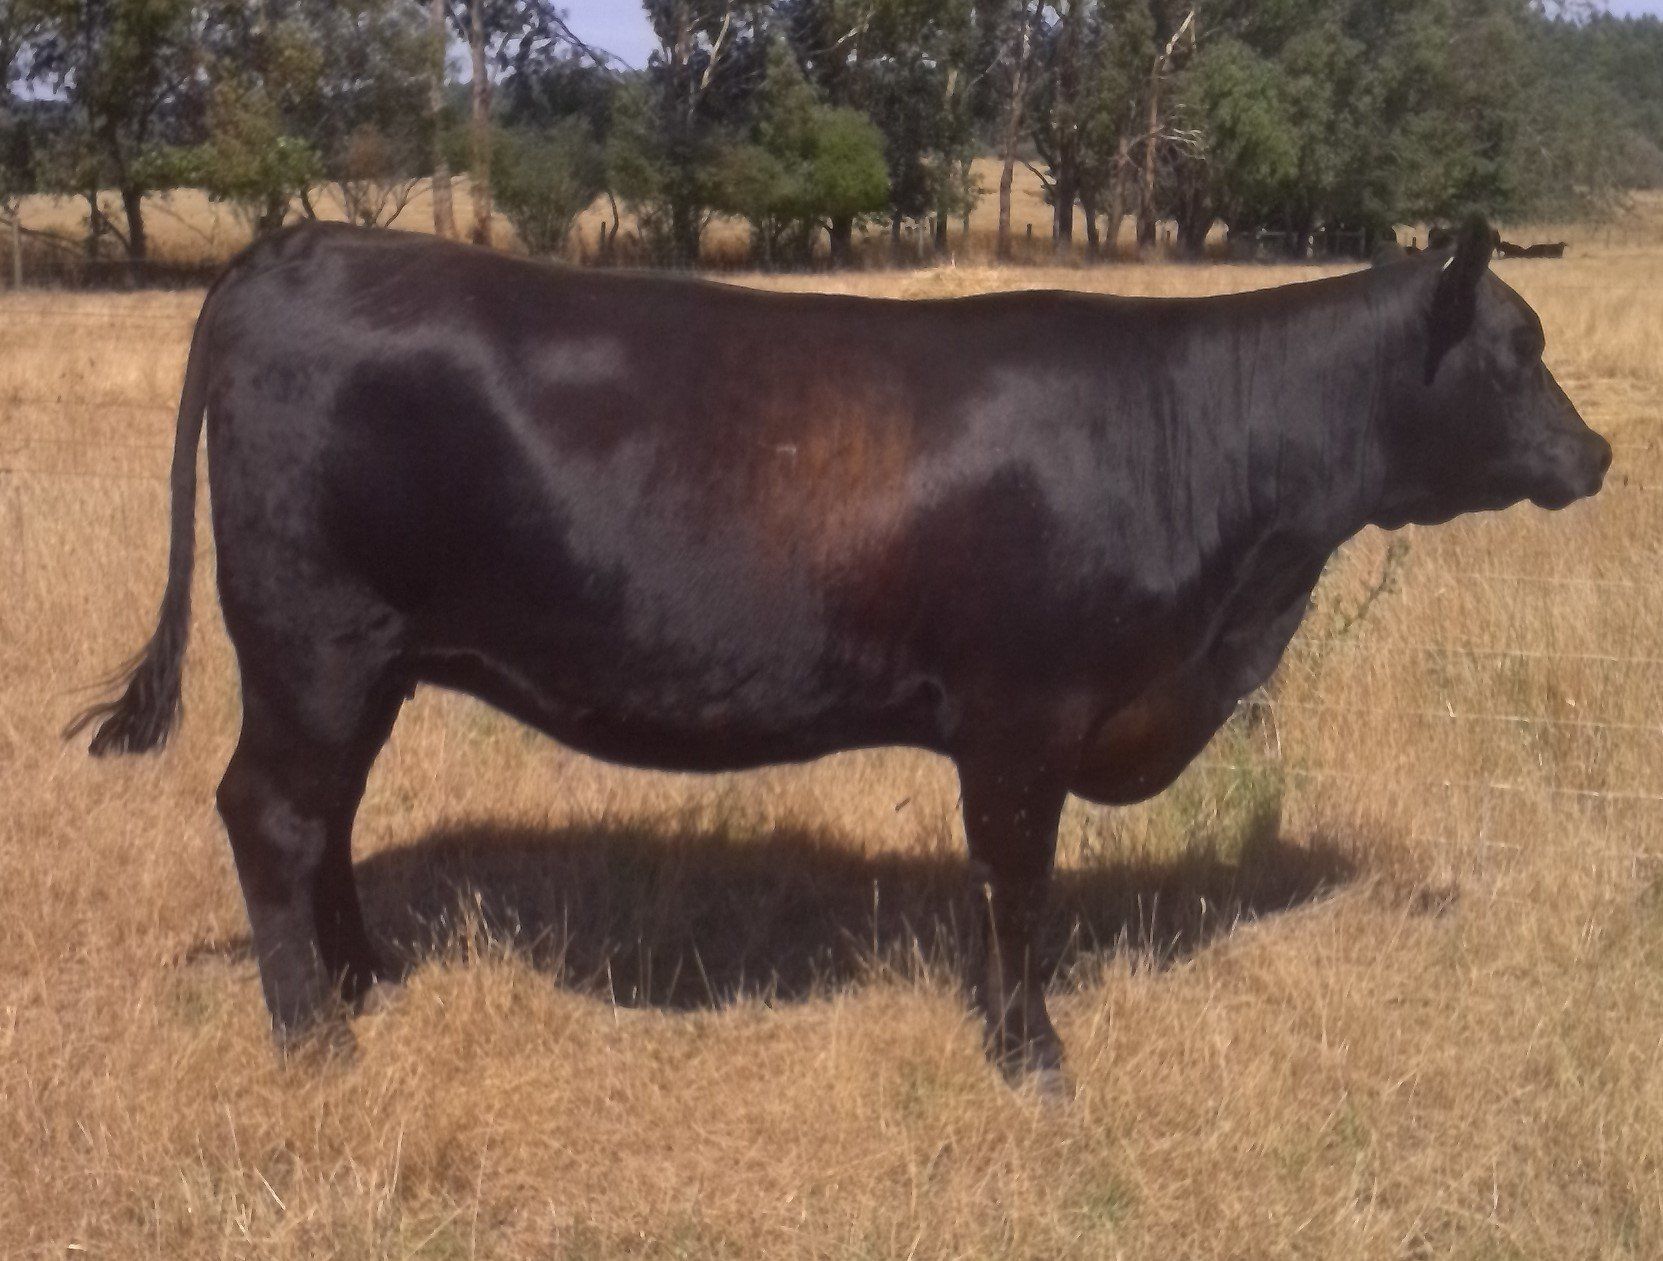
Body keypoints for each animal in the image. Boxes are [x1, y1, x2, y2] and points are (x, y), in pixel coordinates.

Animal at [72, 215, 1609, 1091]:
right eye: (1519, 346)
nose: (1595, 455)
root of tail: (305, 243)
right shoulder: (1020, 713)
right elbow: (1014, 888)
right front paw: (1030, 1058)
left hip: (361, 661)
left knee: (324, 818)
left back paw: (367, 980)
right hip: (313, 641)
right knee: (272, 813)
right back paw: (318, 1044)